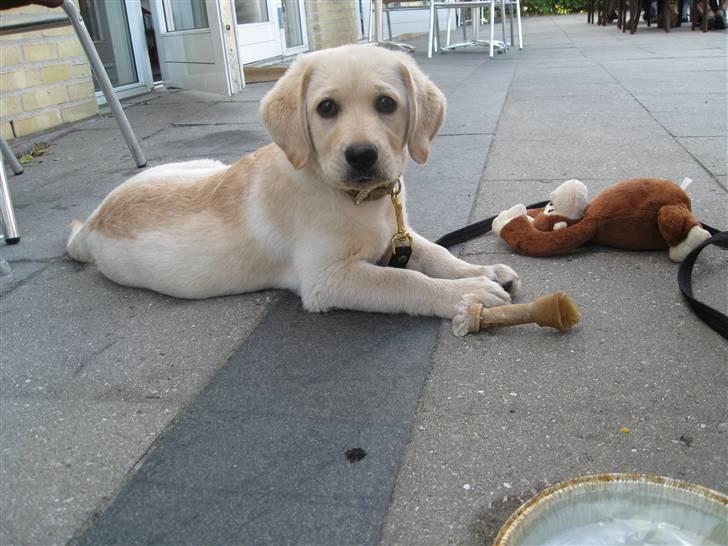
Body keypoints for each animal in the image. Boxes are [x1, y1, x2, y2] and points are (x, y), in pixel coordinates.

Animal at [67, 46, 516, 318]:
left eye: (386, 103)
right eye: (326, 108)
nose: (361, 155)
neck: (358, 199)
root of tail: (91, 222)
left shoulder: (398, 236)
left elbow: (435, 255)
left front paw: (482, 271)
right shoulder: (326, 281)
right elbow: (405, 279)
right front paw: (465, 293)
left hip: (200, 164)